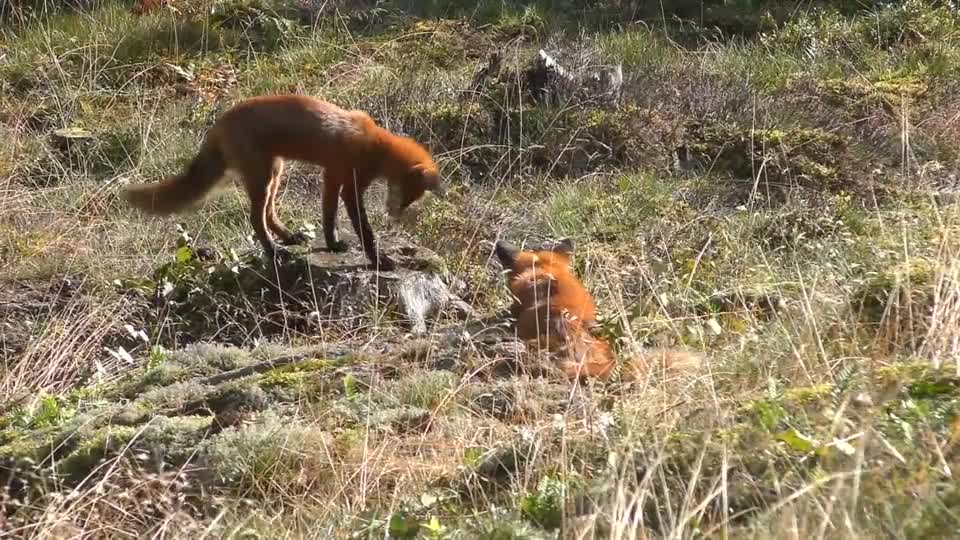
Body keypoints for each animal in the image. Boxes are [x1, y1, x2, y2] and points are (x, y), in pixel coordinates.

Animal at [121, 95, 446, 270]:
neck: (373, 143)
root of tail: (218, 124)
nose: (396, 214)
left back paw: (288, 237)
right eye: (406, 194)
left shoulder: (332, 176)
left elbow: (328, 217)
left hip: (275, 173)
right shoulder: (350, 185)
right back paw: (274, 251)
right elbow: (363, 229)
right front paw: (378, 259)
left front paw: (333, 244)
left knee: (267, 214)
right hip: (263, 177)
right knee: (255, 218)